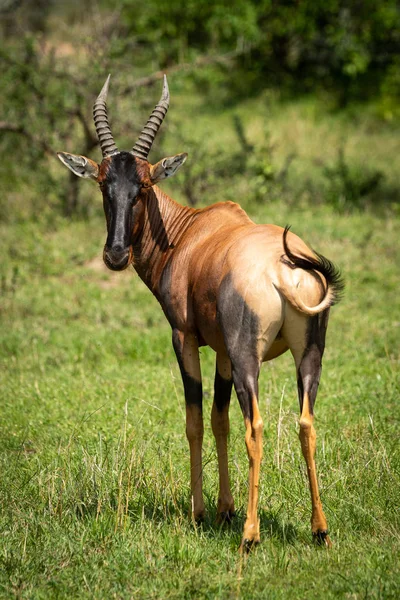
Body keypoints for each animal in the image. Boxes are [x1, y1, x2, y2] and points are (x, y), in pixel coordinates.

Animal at [57, 72, 344, 552]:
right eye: (102, 183)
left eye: (143, 187)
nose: (115, 255)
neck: (190, 233)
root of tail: (281, 267)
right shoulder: (223, 351)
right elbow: (218, 419)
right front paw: (225, 509)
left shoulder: (186, 337)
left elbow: (194, 419)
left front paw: (201, 513)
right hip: (309, 354)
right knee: (306, 422)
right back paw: (319, 529)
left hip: (249, 358)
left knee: (257, 426)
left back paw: (251, 535)